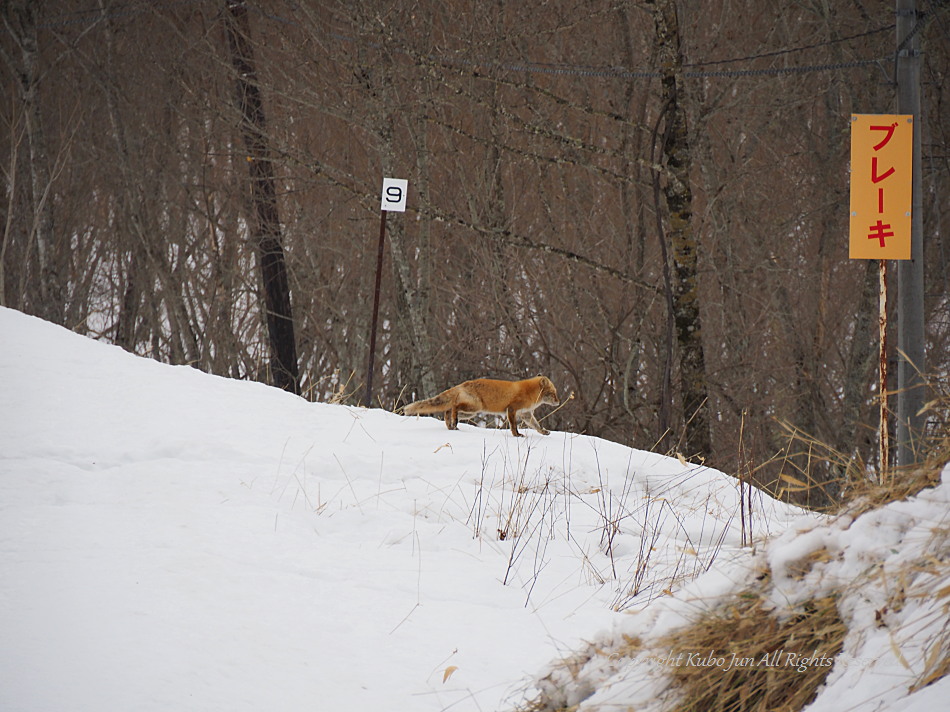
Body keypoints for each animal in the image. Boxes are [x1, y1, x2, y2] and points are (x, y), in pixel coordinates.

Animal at [406, 376, 560, 436]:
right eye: (553, 393)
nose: (558, 402)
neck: (530, 393)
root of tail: (462, 384)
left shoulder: (526, 414)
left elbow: (536, 426)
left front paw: (543, 432)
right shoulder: (512, 409)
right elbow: (513, 426)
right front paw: (517, 435)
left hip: (471, 412)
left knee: (447, 411)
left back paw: (451, 426)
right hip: (474, 407)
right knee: (454, 407)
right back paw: (453, 424)